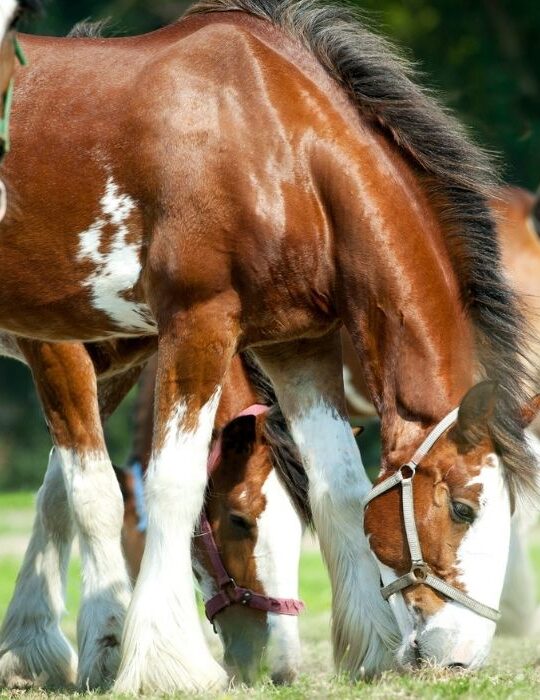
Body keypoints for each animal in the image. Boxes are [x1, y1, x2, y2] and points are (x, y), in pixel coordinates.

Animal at [1, 0, 540, 688]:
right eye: (465, 510)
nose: (458, 657)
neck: (275, 146)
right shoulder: (144, 332)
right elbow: (132, 488)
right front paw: (155, 661)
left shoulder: (295, 346)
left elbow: (339, 487)